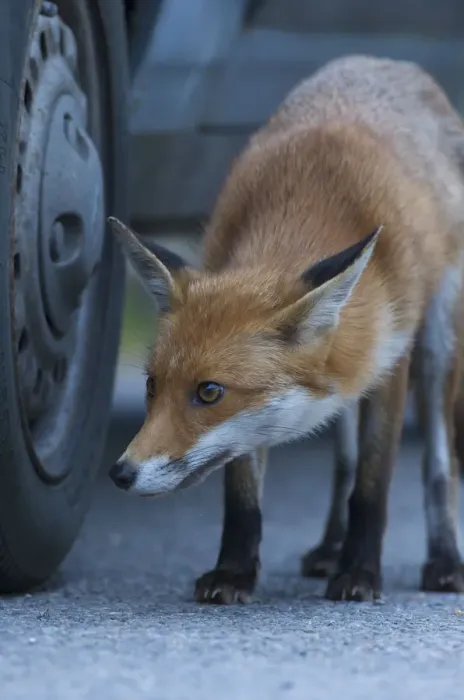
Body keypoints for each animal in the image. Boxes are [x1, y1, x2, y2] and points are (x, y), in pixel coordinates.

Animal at [108, 54, 464, 604]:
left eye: (208, 392)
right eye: (150, 385)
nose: (120, 473)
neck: (305, 202)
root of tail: (383, 60)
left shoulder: (390, 361)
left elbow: (372, 486)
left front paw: (360, 573)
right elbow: (243, 494)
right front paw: (234, 572)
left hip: (438, 341)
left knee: (437, 466)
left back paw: (443, 560)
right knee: (343, 460)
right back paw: (329, 548)